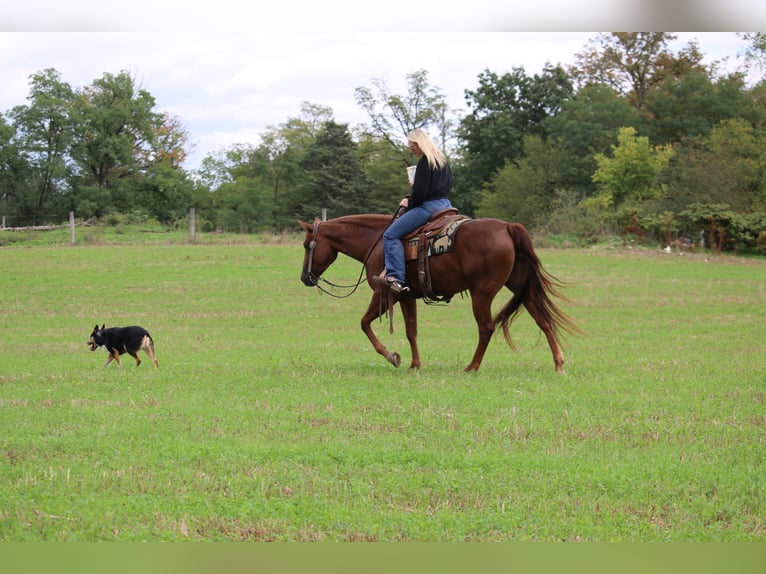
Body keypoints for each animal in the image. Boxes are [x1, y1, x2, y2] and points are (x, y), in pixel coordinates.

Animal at [298, 214, 581, 373]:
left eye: (305, 245)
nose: (304, 278)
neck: (376, 241)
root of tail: (507, 227)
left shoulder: (383, 293)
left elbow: (364, 323)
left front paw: (392, 356)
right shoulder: (405, 296)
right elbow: (411, 331)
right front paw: (414, 364)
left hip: (482, 293)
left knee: (486, 327)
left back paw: (472, 366)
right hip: (520, 286)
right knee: (542, 319)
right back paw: (558, 363)